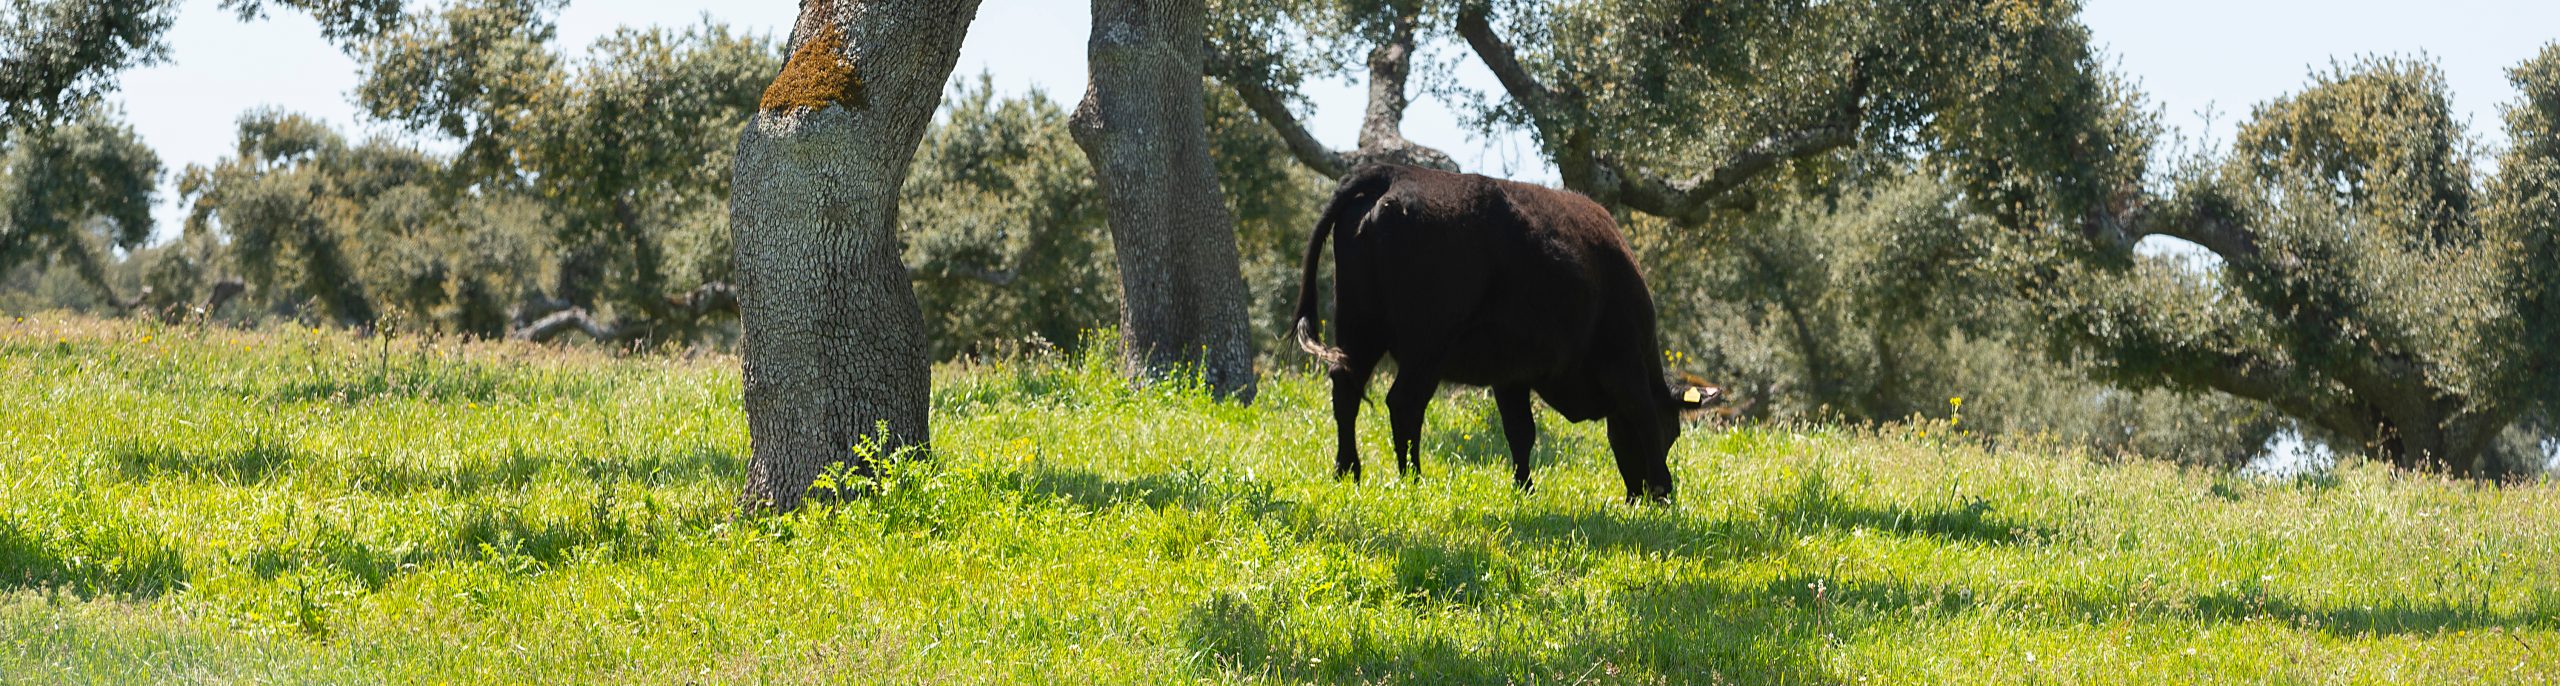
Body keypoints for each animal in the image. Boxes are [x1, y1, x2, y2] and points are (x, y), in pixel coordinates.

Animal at [1290, 163, 1710, 501]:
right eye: (1672, 431)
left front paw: (1524, 488)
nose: (1640, 495)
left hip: (1359, 329)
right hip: (1425, 347)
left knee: (1346, 390)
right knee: (1403, 404)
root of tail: (1394, 173)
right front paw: (1664, 488)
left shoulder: (1512, 375)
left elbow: (1520, 432)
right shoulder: (1624, 364)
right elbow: (1642, 415)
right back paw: (1413, 478)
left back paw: (1348, 471)